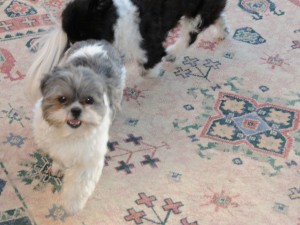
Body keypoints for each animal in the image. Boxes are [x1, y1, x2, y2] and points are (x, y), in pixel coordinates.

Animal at [26, 0, 227, 101]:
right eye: (70, 38)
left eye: (82, 34)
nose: (75, 47)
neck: (115, 22)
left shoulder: (150, 46)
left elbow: (150, 66)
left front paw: (152, 72)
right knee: (217, 16)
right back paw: (222, 33)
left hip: (197, 12)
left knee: (191, 32)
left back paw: (174, 52)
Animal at [32, 39, 126, 214]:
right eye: (62, 99)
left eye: (89, 100)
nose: (76, 110)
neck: (69, 134)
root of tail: (99, 42)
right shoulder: (52, 144)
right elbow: (58, 158)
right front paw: (57, 167)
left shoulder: (88, 159)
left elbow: (78, 184)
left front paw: (71, 204)